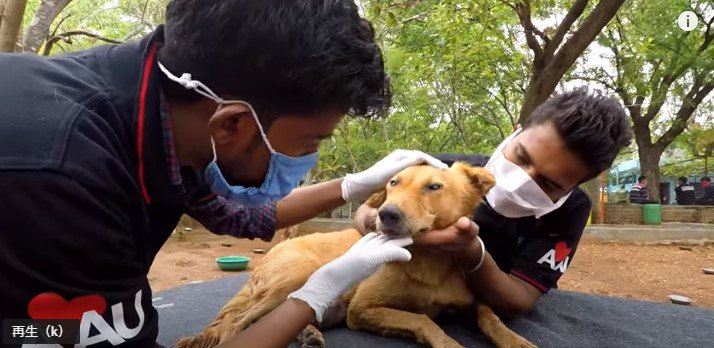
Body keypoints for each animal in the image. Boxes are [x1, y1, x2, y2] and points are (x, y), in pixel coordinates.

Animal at [177, 164, 536, 348]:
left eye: (434, 187)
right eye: (393, 183)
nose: (386, 214)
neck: (429, 263)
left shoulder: (471, 302)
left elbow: (490, 316)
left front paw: (516, 341)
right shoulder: (362, 309)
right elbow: (423, 319)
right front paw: (448, 343)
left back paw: (309, 334)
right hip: (296, 277)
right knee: (234, 325)